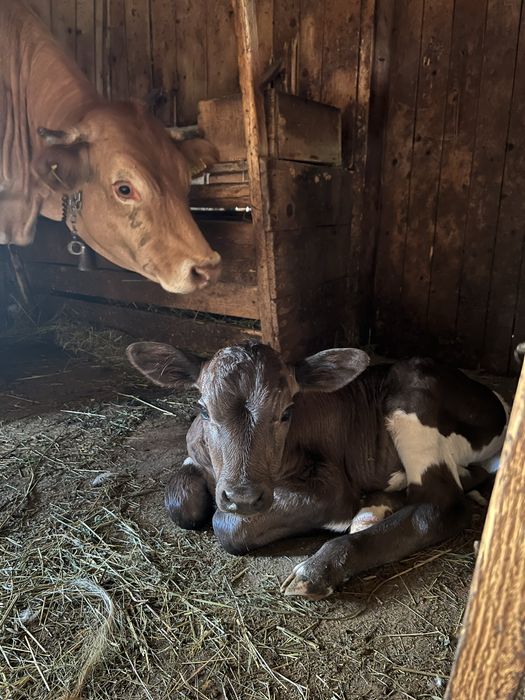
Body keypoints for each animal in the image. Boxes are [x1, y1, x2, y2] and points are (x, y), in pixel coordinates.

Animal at [126, 340, 509, 600]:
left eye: (286, 412)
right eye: (203, 409)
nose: (243, 497)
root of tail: (493, 397)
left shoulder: (332, 489)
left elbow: (227, 526)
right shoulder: (195, 457)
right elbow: (182, 503)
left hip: (413, 401)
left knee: (438, 505)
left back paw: (321, 566)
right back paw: (373, 509)